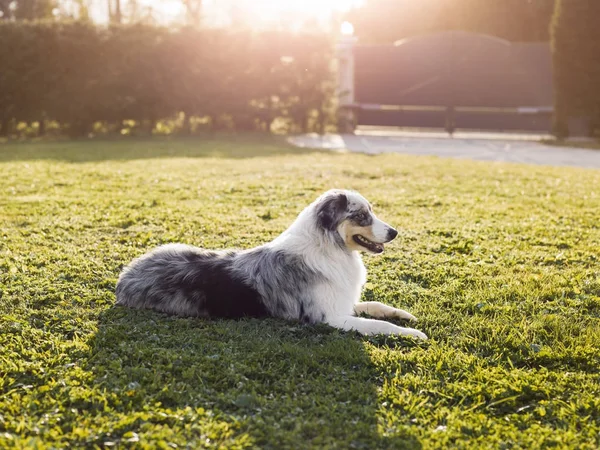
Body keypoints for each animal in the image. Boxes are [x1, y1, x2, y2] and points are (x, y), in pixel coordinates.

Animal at [116, 188, 426, 340]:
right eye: (362, 216)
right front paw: (413, 333)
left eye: (370, 212)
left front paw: (404, 315)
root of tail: (125, 275)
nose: (394, 232)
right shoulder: (329, 318)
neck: (329, 247)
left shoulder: (342, 302)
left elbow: (376, 306)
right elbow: (378, 325)